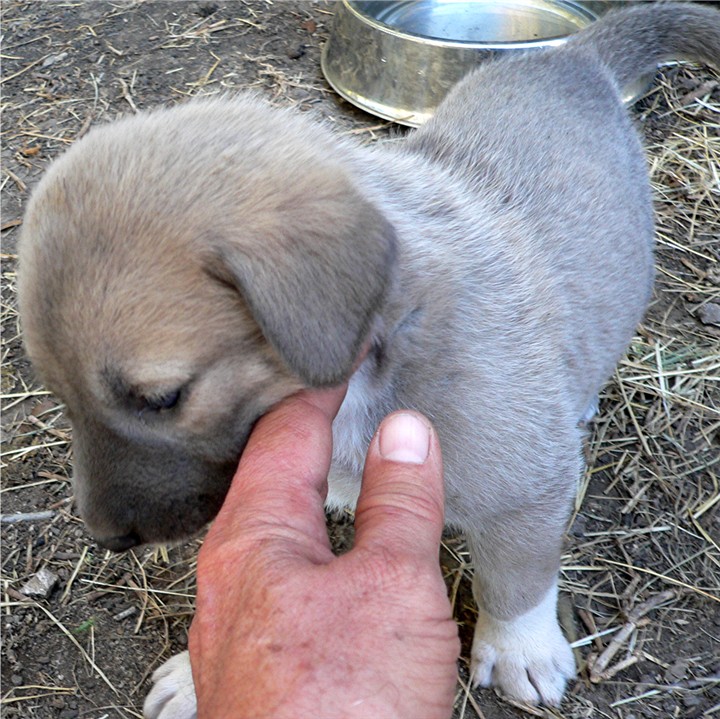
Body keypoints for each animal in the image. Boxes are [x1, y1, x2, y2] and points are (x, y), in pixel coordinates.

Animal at [16, 2, 720, 716]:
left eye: (162, 399)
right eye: (58, 393)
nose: (104, 538)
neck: (375, 365)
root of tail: (575, 57)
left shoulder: (522, 488)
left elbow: (516, 577)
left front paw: (521, 649)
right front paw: (197, 674)